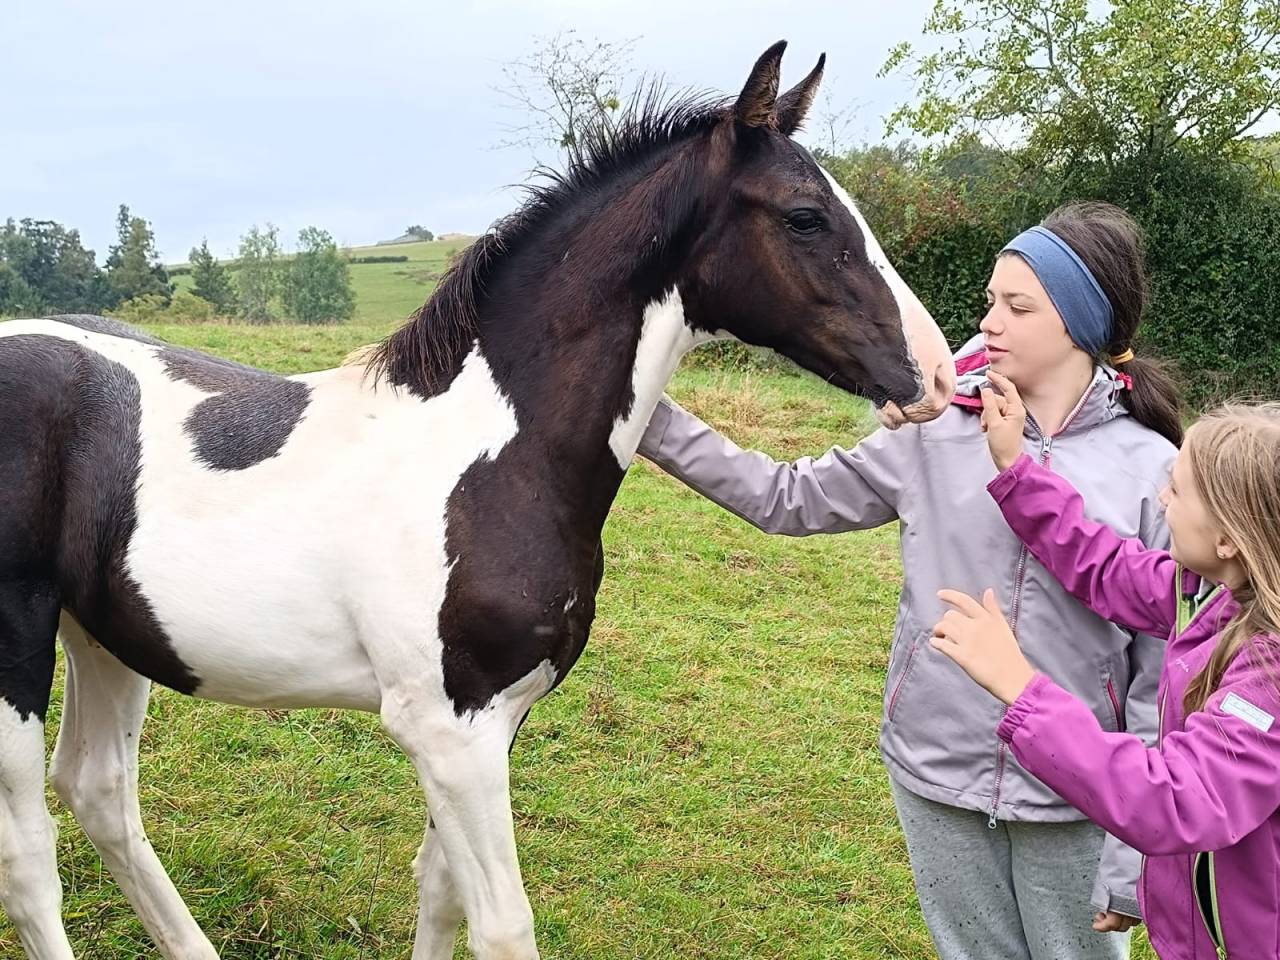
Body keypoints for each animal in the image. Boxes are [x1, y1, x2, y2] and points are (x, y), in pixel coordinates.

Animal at [0, 41, 954, 960]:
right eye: (805, 216)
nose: (938, 373)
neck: (497, 454)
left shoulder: (499, 720)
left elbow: (441, 895)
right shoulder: (450, 730)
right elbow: (501, 924)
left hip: (107, 636)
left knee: (98, 790)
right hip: (18, 651)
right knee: (30, 855)